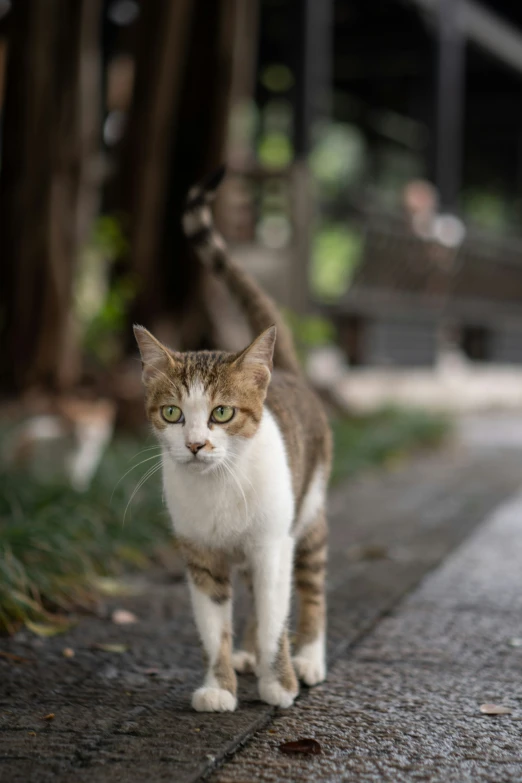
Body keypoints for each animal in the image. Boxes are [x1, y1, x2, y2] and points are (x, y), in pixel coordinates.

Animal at [132, 168, 332, 712]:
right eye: (173, 413)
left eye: (222, 413)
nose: (197, 444)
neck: (219, 484)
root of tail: (286, 371)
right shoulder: (200, 553)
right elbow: (213, 626)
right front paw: (219, 685)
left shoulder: (272, 542)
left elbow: (276, 615)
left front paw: (279, 681)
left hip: (307, 513)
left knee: (308, 586)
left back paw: (307, 658)